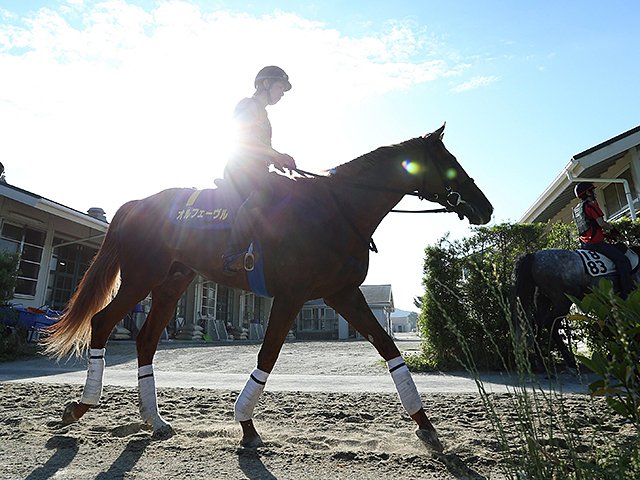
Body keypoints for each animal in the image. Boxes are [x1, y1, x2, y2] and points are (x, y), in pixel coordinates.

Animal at [44, 124, 493, 453]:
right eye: (450, 163)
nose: (484, 206)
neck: (336, 209)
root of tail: (137, 204)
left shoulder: (342, 294)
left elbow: (389, 349)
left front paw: (426, 425)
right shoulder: (293, 296)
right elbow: (269, 352)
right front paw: (245, 423)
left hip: (171, 285)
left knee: (146, 340)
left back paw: (154, 419)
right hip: (141, 279)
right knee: (103, 323)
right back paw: (80, 407)